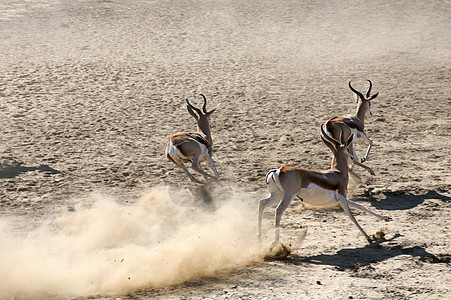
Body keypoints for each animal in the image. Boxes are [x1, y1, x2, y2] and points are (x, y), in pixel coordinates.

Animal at [258, 122, 392, 246]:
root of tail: (278, 170)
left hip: (277, 195)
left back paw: (259, 239)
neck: (338, 173)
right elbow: (352, 217)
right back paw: (276, 243)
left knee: (262, 203)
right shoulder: (342, 198)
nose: (353, 158)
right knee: (278, 210)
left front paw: (386, 218)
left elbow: (361, 206)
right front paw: (368, 237)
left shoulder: (342, 198)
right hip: (288, 196)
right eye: (348, 149)